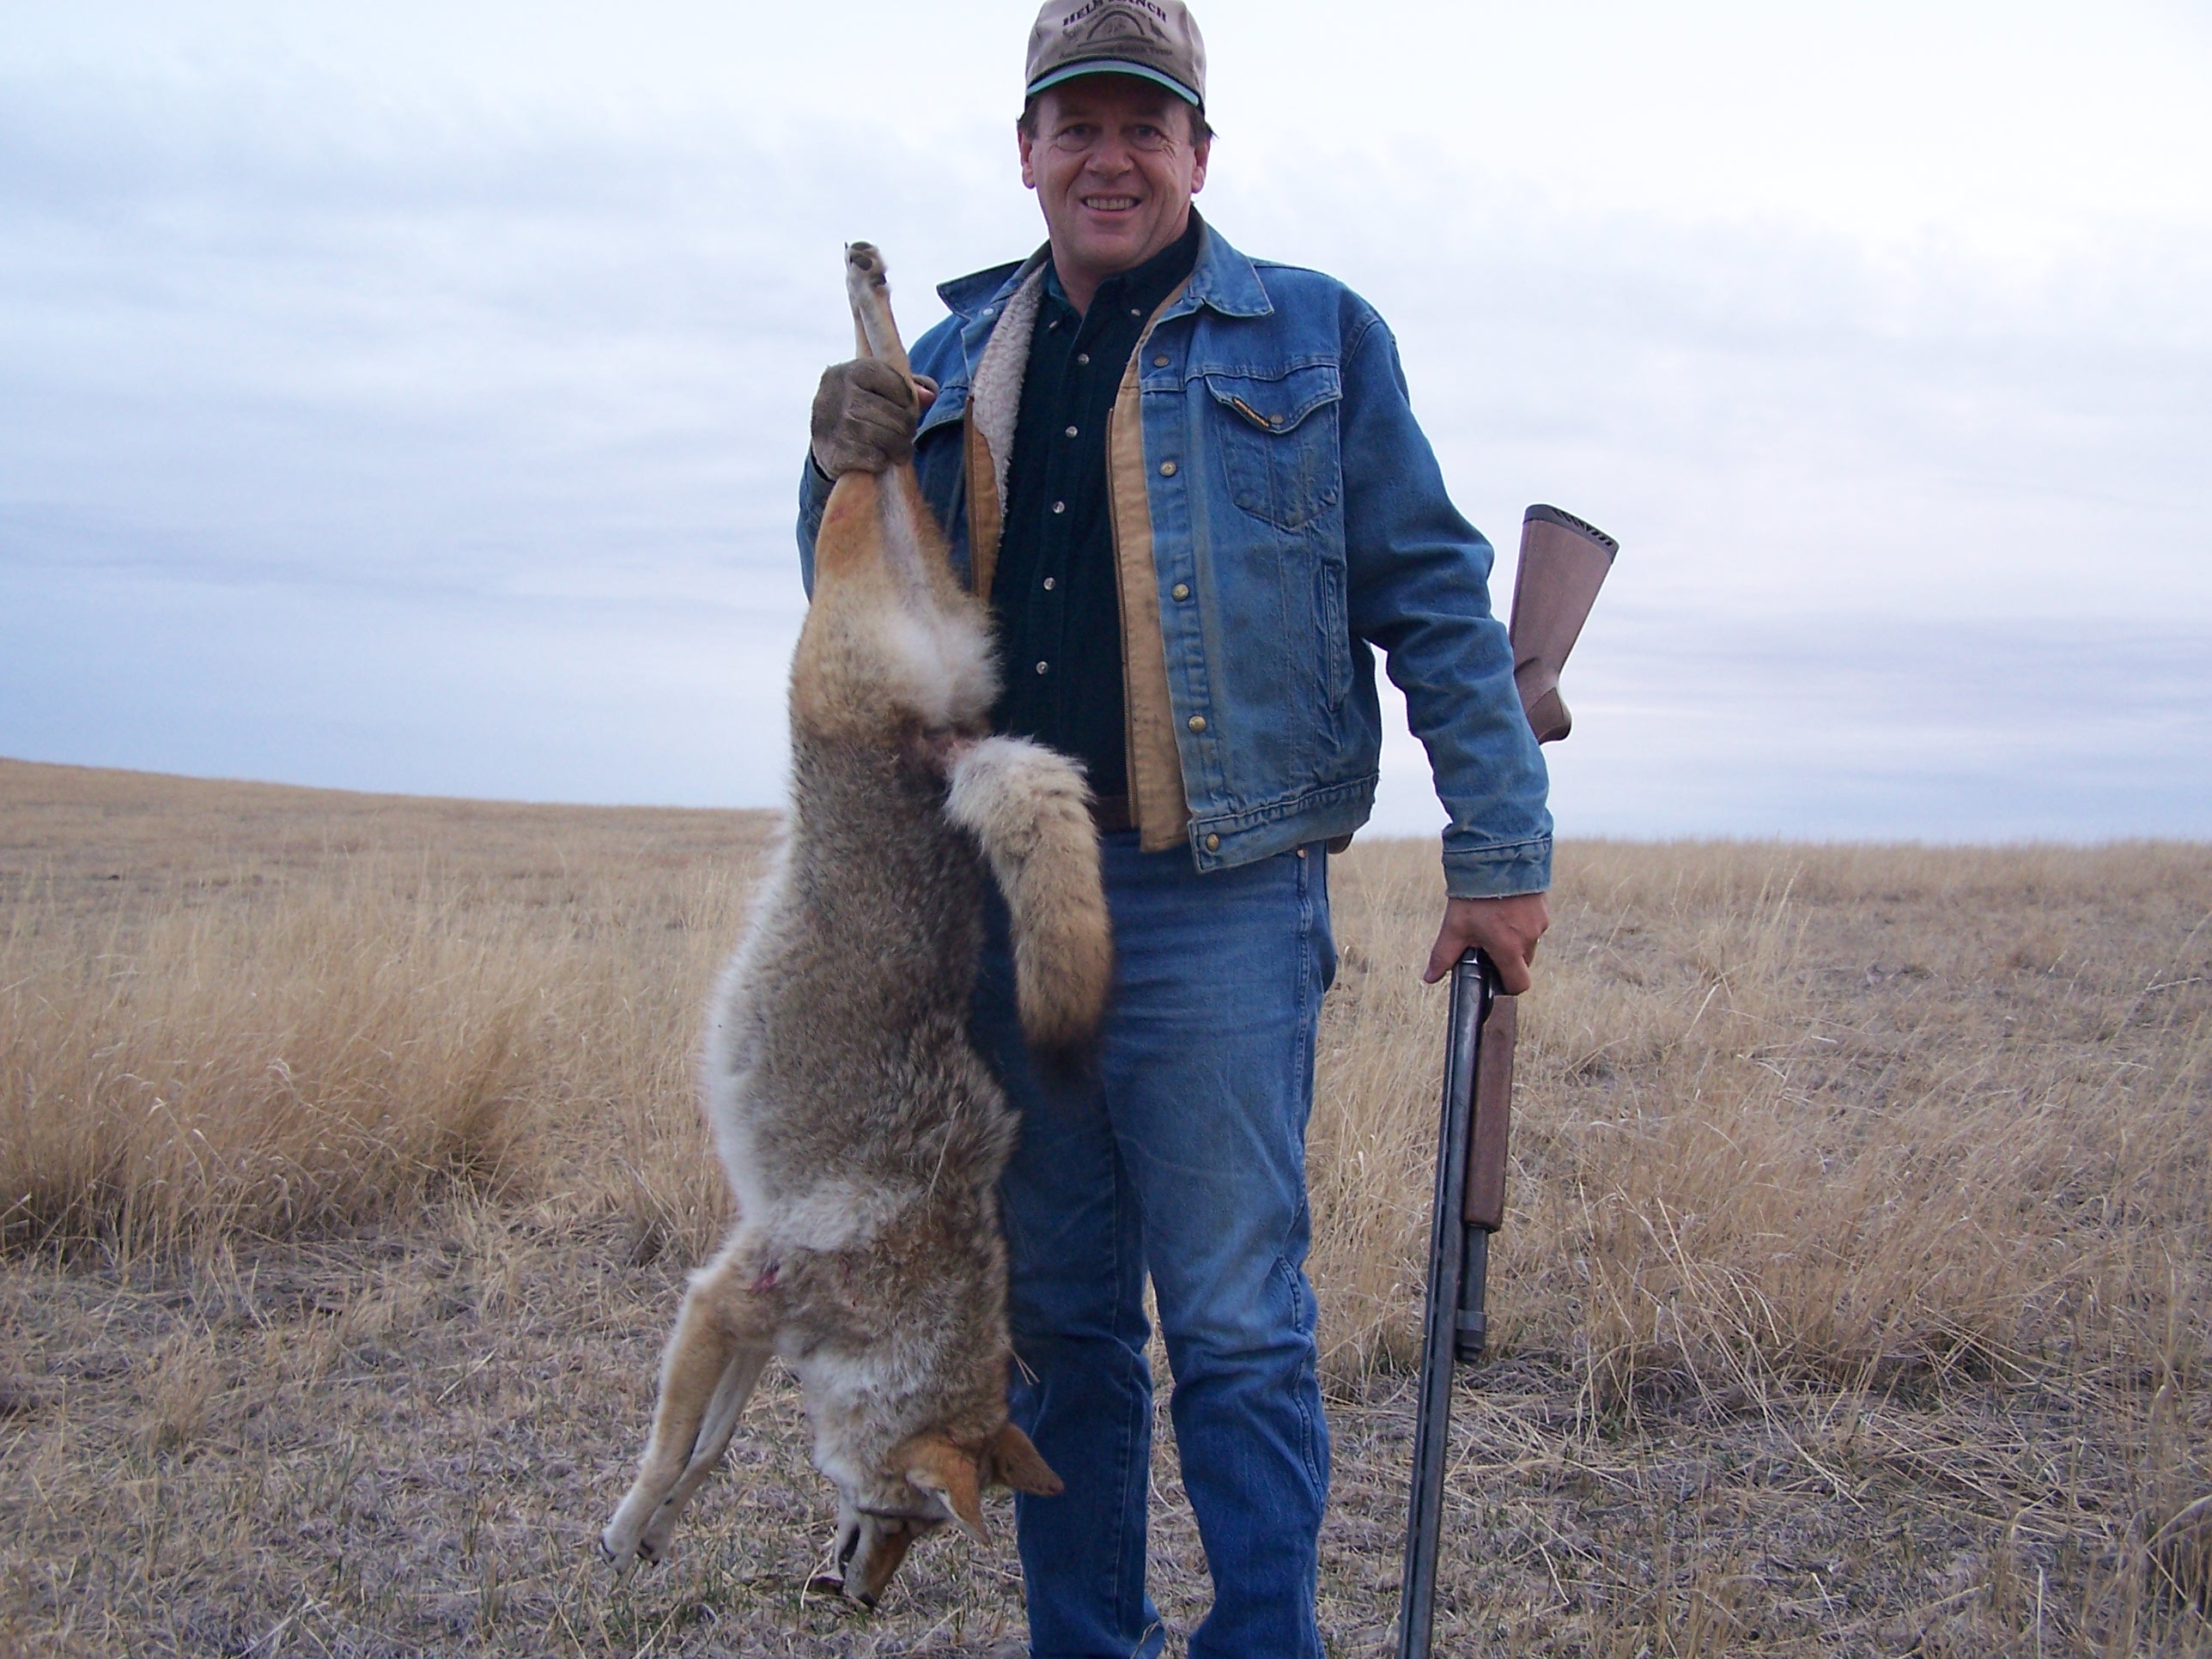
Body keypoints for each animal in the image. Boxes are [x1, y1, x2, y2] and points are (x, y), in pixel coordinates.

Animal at [601, 244, 1112, 1607]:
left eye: (912, 1538)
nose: (863, 1601)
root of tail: (938, 740)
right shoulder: (728, 1299)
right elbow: (677, 1448)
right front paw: (630, 1526)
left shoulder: (747, 1311)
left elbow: (710, 1448)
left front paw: (653, 1534)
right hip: (845, 603)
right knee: (871, 448)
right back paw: (884, 341)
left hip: (875, 575)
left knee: (884, 448)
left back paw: (887, 322)